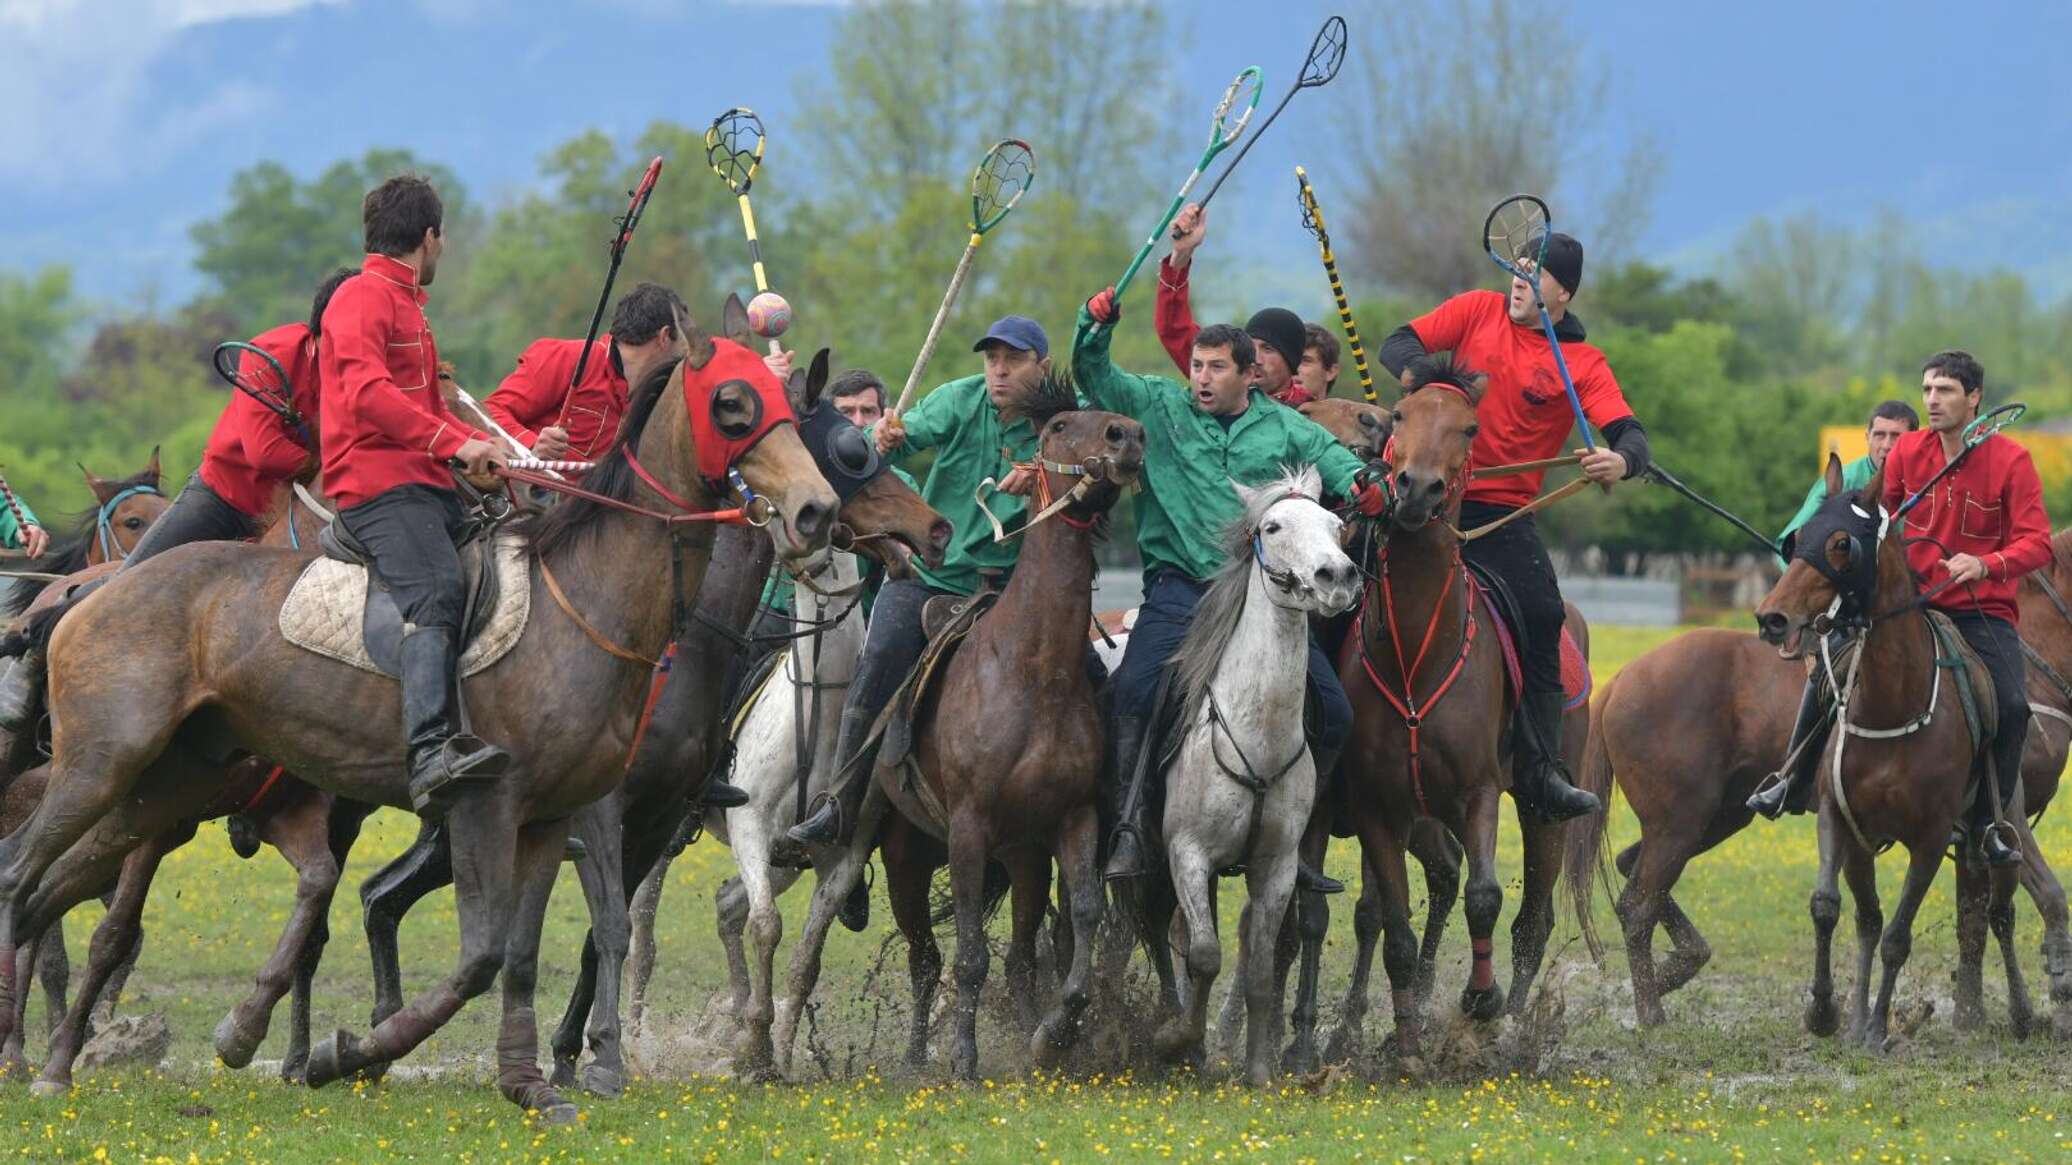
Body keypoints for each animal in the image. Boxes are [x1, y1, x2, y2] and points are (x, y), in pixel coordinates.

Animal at [0, 310, 841, 1119]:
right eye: (732, 403)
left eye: (791, 406)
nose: (817, 510)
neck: (585, 600)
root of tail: (90, 594)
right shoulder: (490, 807)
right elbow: (479, 958)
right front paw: (346, 1054)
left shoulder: (547, 819)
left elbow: (521, 955)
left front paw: (527, 1083)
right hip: (99, 770)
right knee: (21, 879)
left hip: (159, 791)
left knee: (53, 891)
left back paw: (56, 1063)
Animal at [704, 547, 866, 1077]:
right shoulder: (749, 828)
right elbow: (767, 926)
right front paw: (756, 1047)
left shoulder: (840, 856)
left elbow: (805, 962)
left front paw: (780, 1054)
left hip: (784, 865)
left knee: (726, 906)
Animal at [1152, 466, 1359, 1086]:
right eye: (1272, 526)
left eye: (1337, 525)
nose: (1337, 577)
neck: (1257, 736)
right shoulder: (1188, 853)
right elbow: (1204, 954)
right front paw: (1178, 1040)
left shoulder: (1276, 867)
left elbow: (1262, 969)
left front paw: (1259, 1070)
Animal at [1326, 366, 1583, 1057]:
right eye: (1399, 414)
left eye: (1469, 428)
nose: (1415, 488)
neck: (1418, 652)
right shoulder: (1377, 807)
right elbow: (1391, 924)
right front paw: (1407, 1038)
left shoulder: (1480, 791)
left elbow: (1486, 896)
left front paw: (1480, 1000)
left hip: (1543, 806)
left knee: (1533, 920)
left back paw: (1514, 1024)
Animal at [1748, 451, 2022, 1044]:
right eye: (1799, 536)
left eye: (1842, 544)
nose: (1771, 618)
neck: (1893, 703)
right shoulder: (1843, 821)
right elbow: (1836, 910)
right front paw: (1831, 1013)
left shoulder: (1929, 838)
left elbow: (1898, 933)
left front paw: (1875, 1026)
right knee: (1874, 920)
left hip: (2002, 834)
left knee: (2002, 914)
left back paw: (2024, 1012)